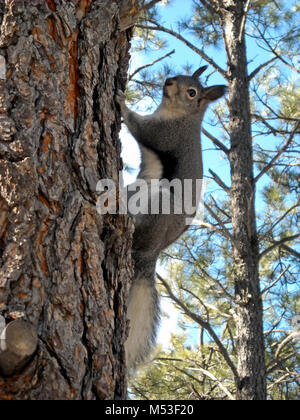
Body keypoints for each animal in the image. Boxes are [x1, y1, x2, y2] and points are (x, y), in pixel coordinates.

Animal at [116, 66, 226, 370]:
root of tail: (151, 253)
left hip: (160, 204)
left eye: (192, 92)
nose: (168, 82)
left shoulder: (165, 134)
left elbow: (138, 126)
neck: (180, 115)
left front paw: (121, 100)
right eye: (180, 76)